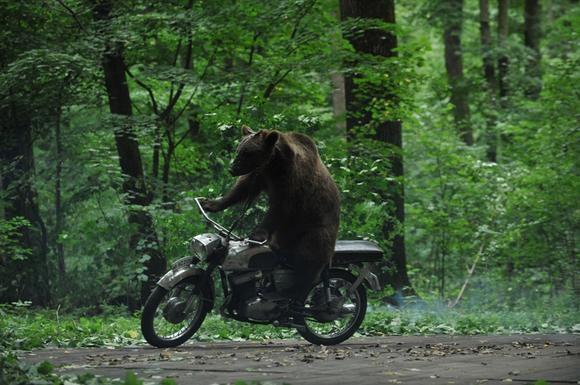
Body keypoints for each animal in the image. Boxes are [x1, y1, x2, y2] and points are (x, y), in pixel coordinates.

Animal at [203, 125, 340, 300]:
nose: (232, 169)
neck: (274, 164)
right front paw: (210, 203)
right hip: (285, 233)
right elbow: (242, 188)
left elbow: (280, 207)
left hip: (317, 228)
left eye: (247, 153)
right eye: (239, 150)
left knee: (309, 258)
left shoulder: (292, 181)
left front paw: (256, 234)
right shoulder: (261, 174)